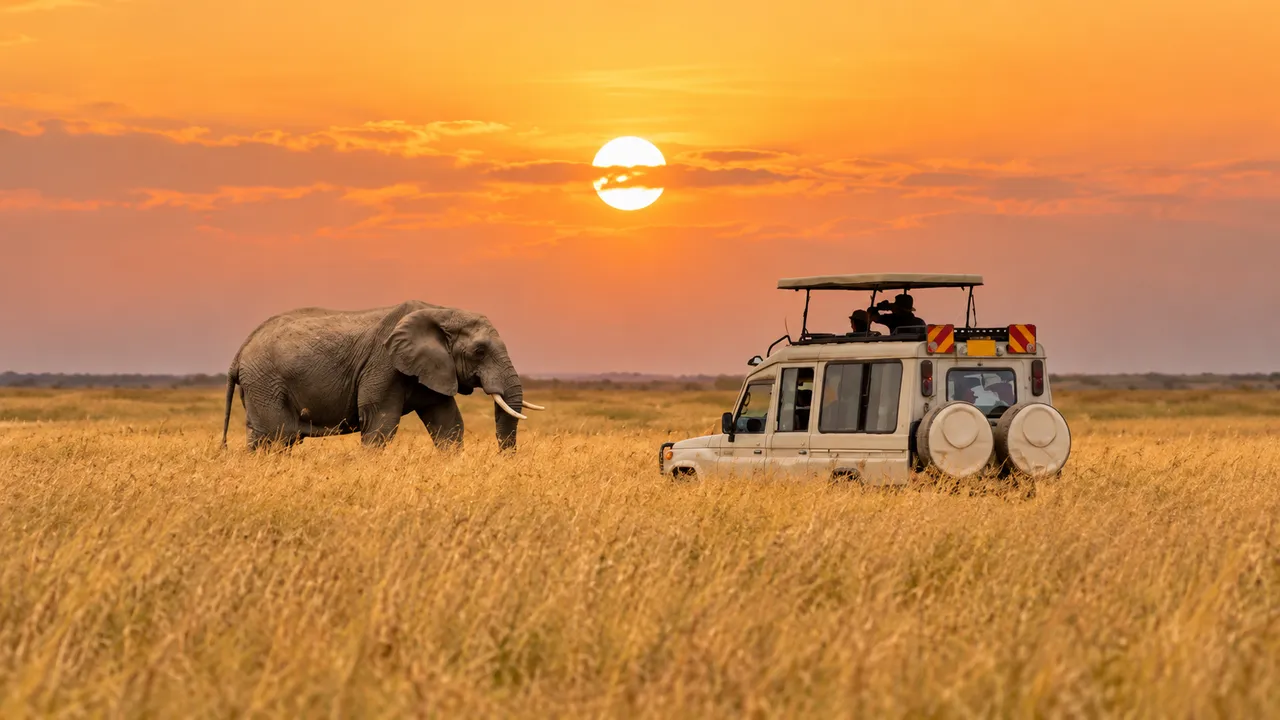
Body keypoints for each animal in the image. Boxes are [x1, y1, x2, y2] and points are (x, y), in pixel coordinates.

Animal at [220, 300, 544, 451]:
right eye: (479, 351)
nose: (504, 459)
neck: (441, 311)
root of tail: (240, 350)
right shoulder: (384, 364)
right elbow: (380, 423)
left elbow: (448, 423)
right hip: (266, 382)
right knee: (275, 437)